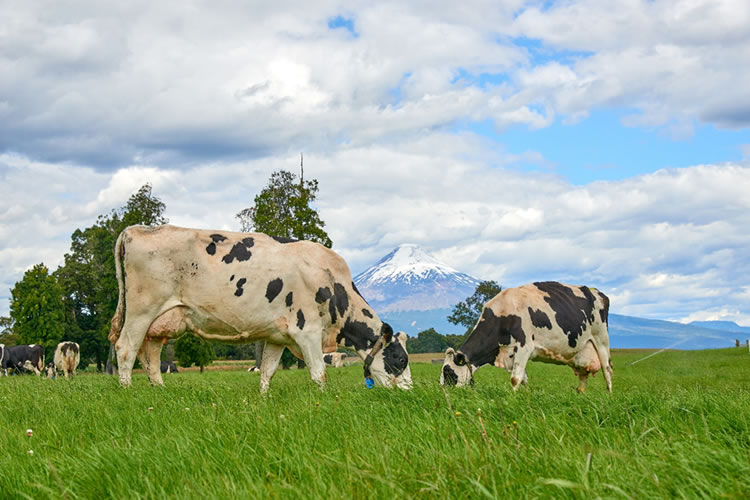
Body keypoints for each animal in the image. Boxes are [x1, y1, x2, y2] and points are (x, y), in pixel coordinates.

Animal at [108, 225, 414, 392]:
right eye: (400, 360)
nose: (409, 393)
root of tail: (137, 229)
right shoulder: (307, 332)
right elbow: (319, 373)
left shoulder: (278, 336)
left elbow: (267, 371)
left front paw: (263, 400)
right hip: (141, 311)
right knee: (125, 349)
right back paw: (127, 391)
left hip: (160, 323)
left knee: (150, 357)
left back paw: (160, 392)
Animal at [444, 282, 612, 394]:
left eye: (448, 372)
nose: (444, 392)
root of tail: (597, 293)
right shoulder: (512, 354)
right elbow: (523, 379)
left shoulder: (524, 346)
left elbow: (515, 378)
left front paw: (512, 398)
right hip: (583, 351)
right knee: (583, 377)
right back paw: (581, 395)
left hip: (601, 340)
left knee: (607, 370)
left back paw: (609, 396)